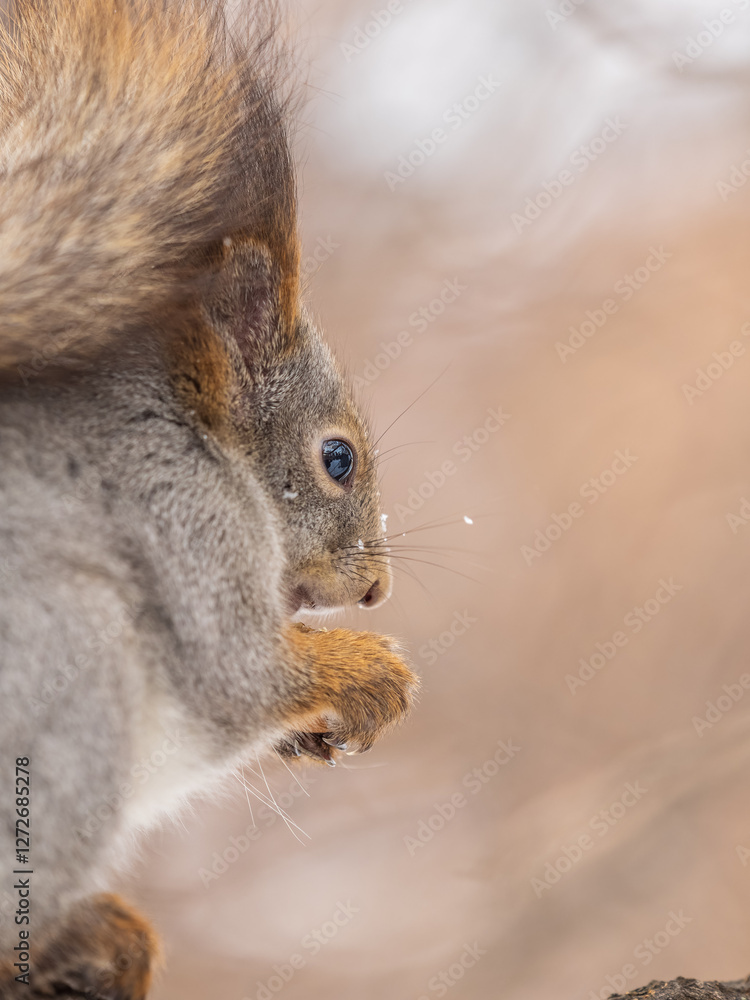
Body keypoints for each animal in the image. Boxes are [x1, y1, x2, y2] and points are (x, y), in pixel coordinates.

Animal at [0, 1, 418, 996]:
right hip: (67, 670)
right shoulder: (181, 510)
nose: (377, 589)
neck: (202, 432)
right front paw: (370, 672)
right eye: (336, 458)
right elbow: (240, 673)